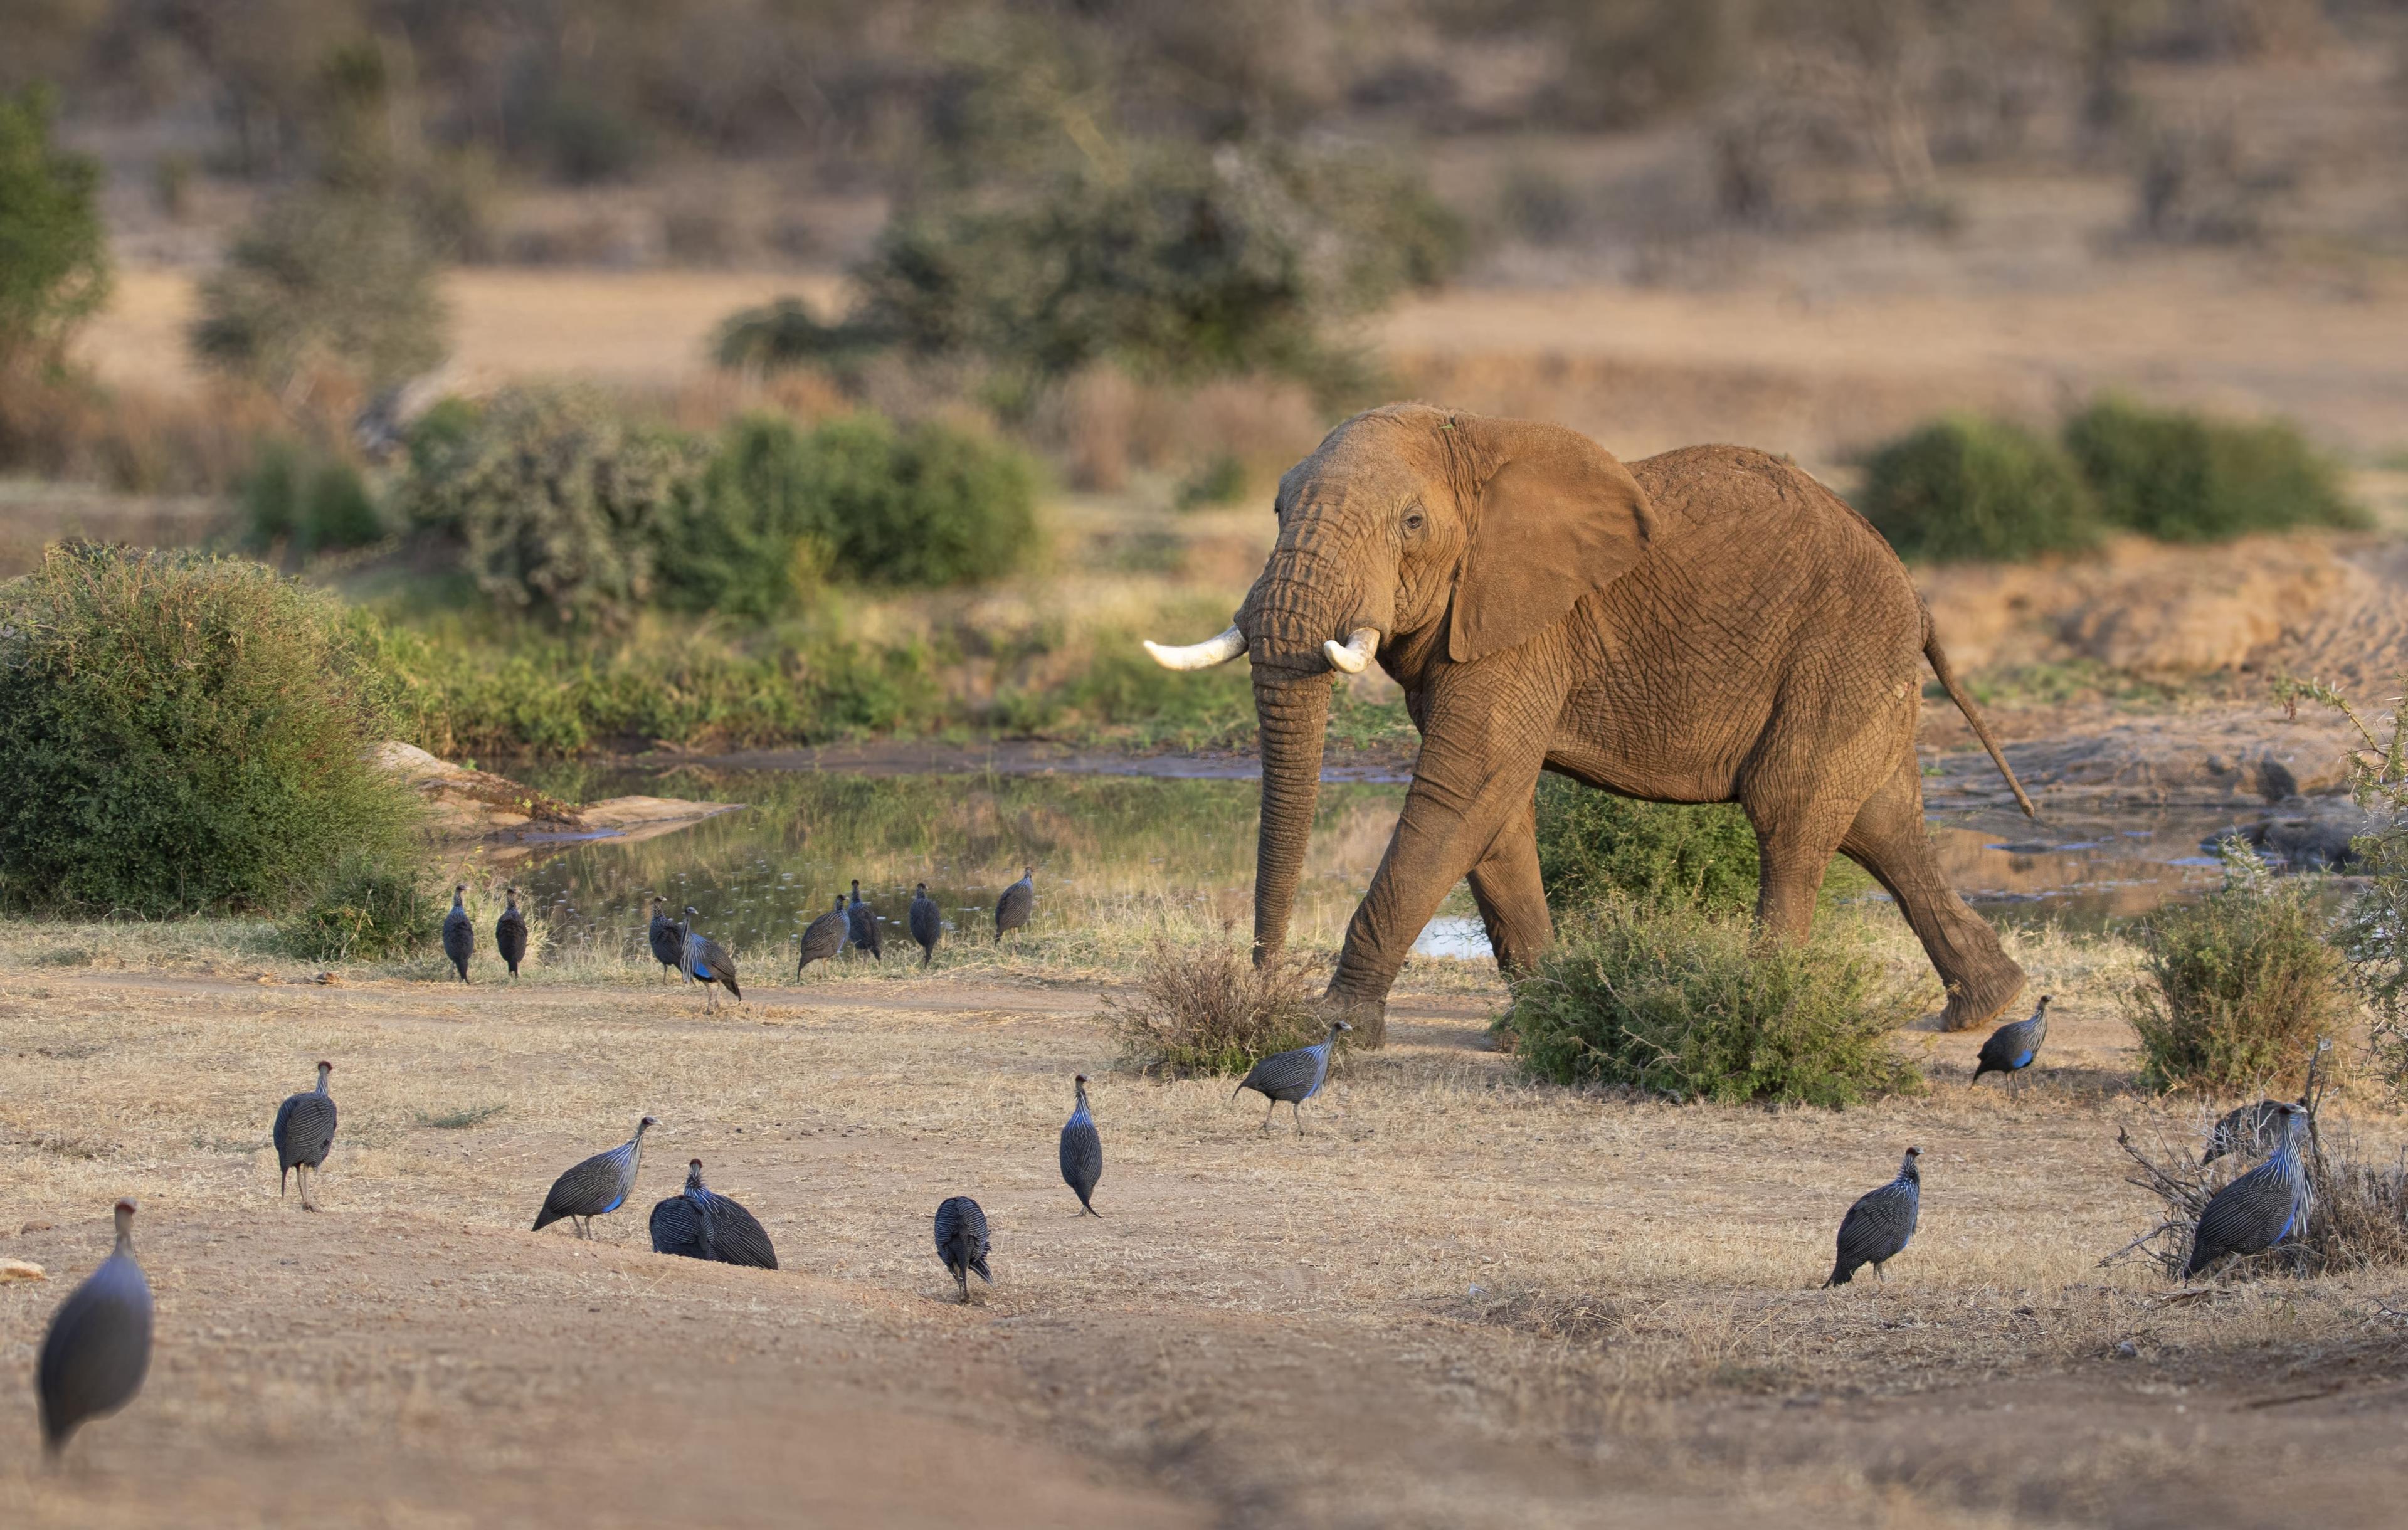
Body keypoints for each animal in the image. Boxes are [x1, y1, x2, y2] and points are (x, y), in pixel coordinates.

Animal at [1144, 405, 2036, 1048]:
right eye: (1276, 507)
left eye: (1411, 525)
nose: (1261, 996)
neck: (1470, 441)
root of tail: (1916, 594)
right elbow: (1495, 812)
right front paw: (1536, 1025)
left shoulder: (1524, 626)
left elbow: (1461, 791)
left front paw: (1335, 1028)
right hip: (1859, 670)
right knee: (1882, 825)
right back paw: (1988, 1008)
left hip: (1837, 649)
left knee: (1793, 816)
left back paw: (1761, 1004)